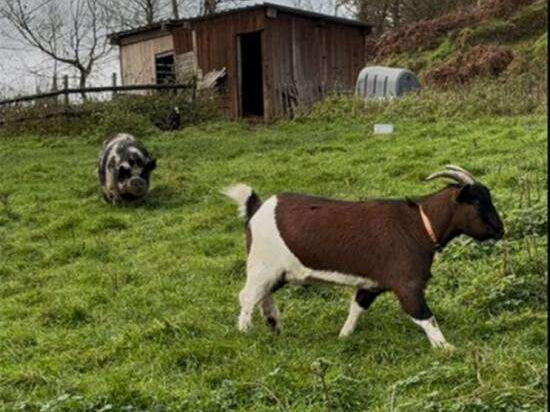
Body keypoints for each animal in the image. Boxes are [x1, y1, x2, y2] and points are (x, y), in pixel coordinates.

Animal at [223, 166, 504, 350]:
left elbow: (357, 308)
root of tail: (256, 208)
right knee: (248, 297)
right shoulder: (407, 284)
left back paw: (275, 326)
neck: (419, 225)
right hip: (262, 266)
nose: (500, 230)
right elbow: (425, 316)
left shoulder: (372, 284)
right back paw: (245, 333)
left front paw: (343, 337)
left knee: (264, 296)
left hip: (276, 271)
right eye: (476, 202)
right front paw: (447, 349)